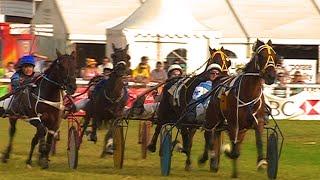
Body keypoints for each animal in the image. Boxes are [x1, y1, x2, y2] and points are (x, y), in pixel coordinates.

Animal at [202, 39, 278, 177]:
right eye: (261, 55)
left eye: (275, 56)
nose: (271, 76)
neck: (248, 93)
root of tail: (219, 78)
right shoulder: (233, 124)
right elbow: (234, 150)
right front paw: (226, 152)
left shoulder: (257, 121)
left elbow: (258, 141)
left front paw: (262, 161)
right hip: (212, 117)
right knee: (209, 133)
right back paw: (207, 157)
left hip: (240, 128)